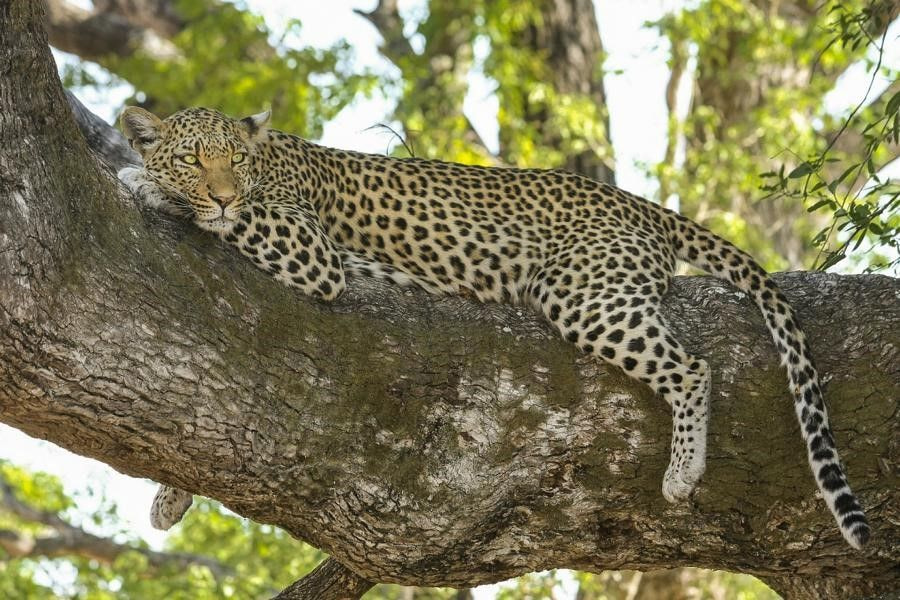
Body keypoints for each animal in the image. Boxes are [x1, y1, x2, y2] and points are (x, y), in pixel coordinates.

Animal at [117, 105, 869, 550]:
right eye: (194, 158)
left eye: (234, 162)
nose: (220, 191)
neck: (269, 160)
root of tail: (636, 202)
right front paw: (170, 497)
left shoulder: (311, 250)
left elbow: (239, 218)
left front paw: (142, 182)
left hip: (583, 292)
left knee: (692, 367)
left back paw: (684, 472)